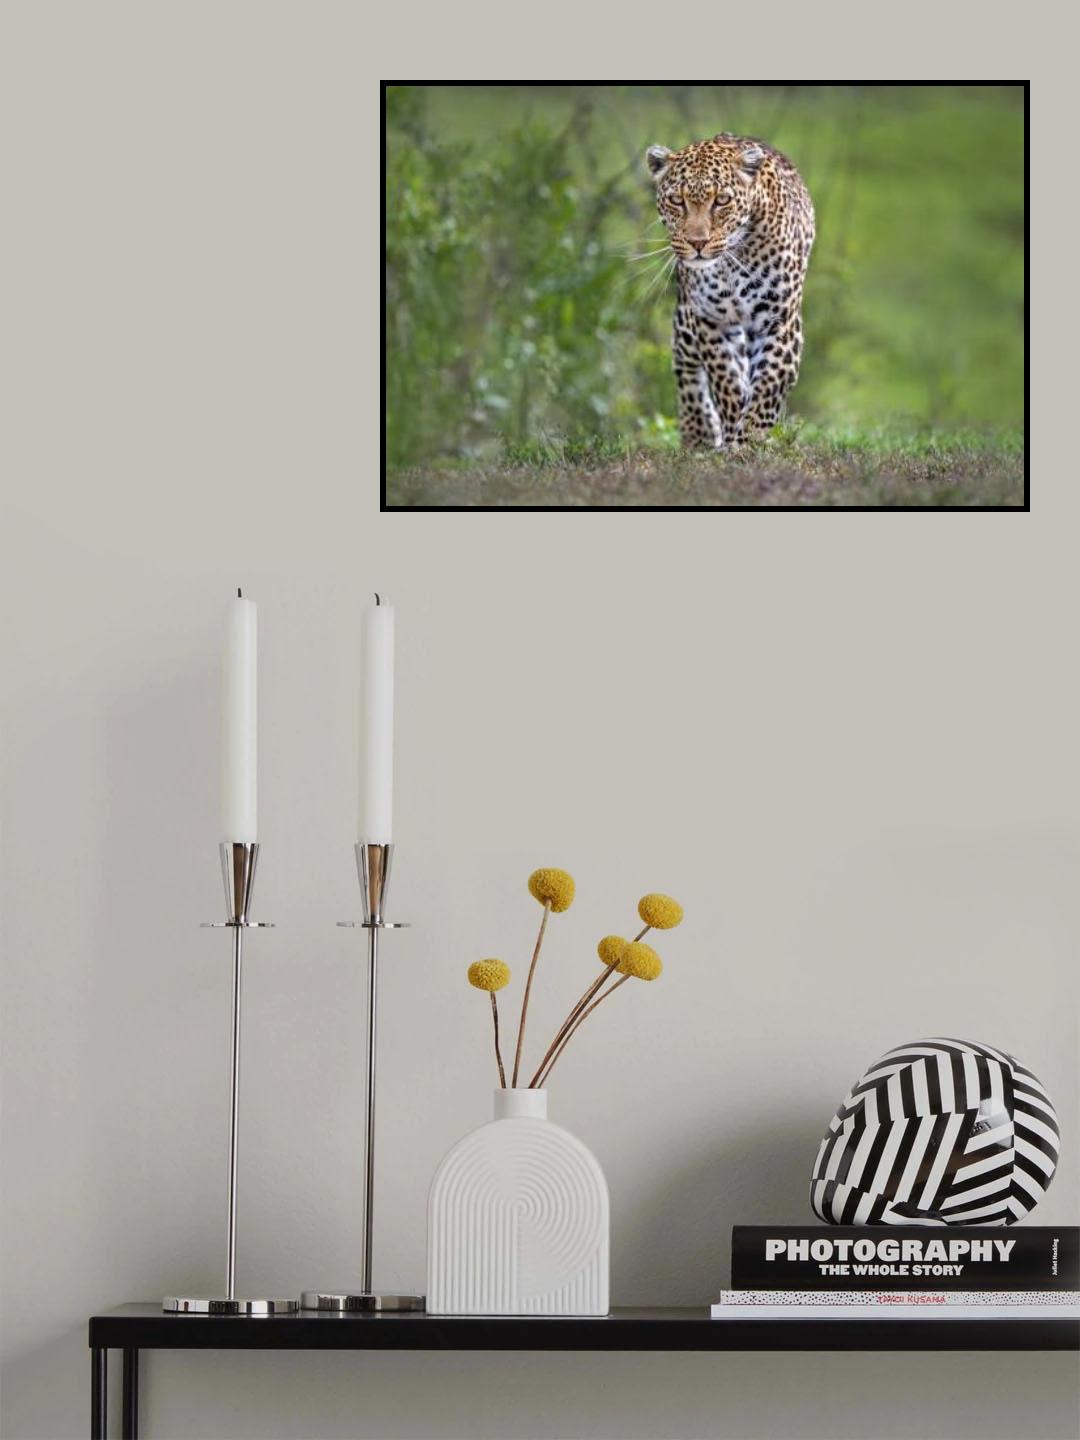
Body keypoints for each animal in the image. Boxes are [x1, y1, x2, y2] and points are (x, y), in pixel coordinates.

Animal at [646, 134, 815, 450]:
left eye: (721, 201)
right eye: (677, 200)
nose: (697, 243)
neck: (729, 265)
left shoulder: (780, 320)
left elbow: (768, 385)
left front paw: (749, 439)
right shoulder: (710, 320)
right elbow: (726, 380)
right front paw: (732, 433)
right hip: (687, 320)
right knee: (685, 367)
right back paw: (698, 433)